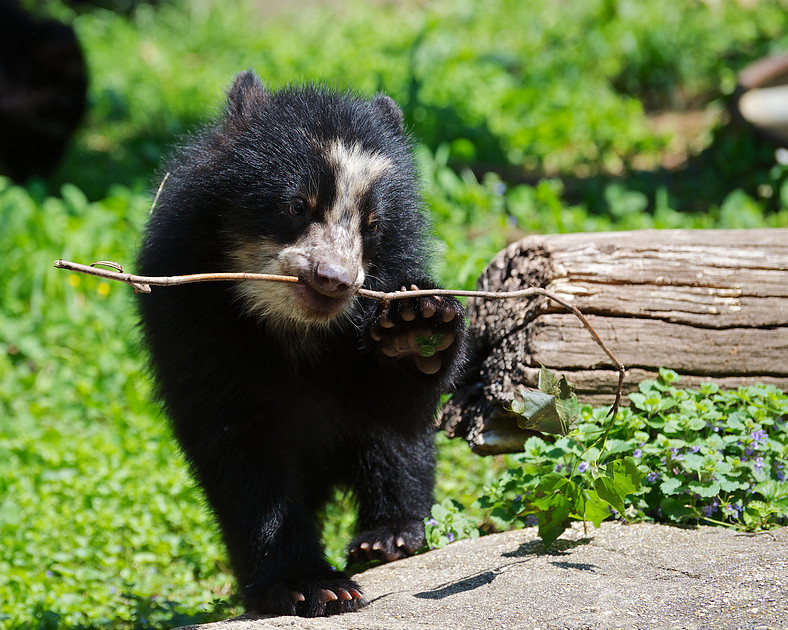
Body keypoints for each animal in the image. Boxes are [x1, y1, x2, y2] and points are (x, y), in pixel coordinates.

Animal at [136, 70, 466, 617]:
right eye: (297, 205)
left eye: (372, 224)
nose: (335, 280)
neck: (291, 324)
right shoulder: (190, 316)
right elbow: (238, 449)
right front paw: (312, 586)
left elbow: (392, 411)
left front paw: (417, 320)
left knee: (395, 448)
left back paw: (389, 537)